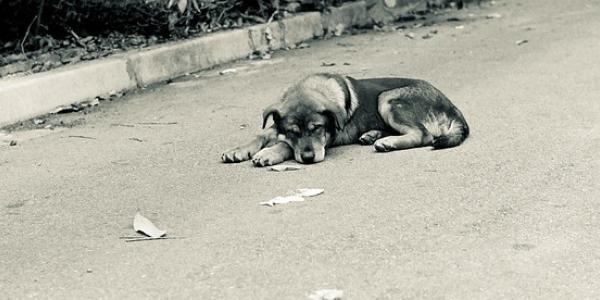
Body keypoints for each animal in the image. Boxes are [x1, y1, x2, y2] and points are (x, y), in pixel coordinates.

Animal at [220, 73, 468, 166]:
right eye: (293, 132)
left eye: (317, 128)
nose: (308, 159)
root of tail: (452, 106)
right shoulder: (277, 126)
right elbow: (262, 134)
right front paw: (238, 150)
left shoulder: (327, 139)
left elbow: (285, 146)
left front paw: (269, 153)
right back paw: (372, 135)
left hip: (386, 98)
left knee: (422, 134)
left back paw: (386, 142)